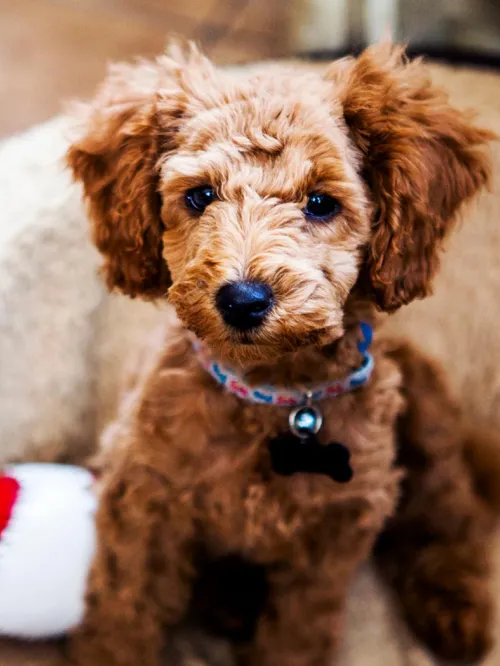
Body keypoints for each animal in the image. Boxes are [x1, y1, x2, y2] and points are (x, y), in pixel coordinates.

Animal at [65, 42, 496, 664]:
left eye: (320, 203)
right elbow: (124, 612)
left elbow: (298, 634)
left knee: (453, 514)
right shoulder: (143, 503)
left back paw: (456, 611)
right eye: (200, 196)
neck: (276, 394)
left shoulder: (331, 539)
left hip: (429, 422)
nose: (243, 300)